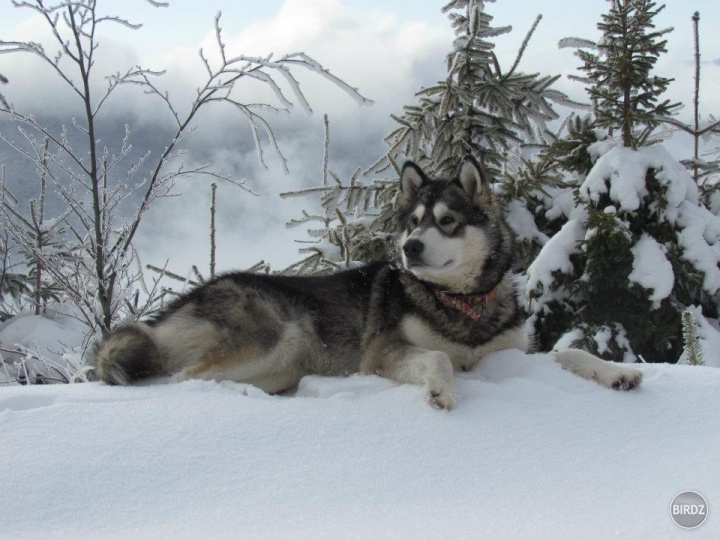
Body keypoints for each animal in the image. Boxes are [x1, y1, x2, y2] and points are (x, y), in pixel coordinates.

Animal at [94, 156, 640, 410]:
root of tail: (176, 307)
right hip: (276, 338)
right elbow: (439, 358)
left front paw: (616, 373)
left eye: (446, 221)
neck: (460, 304)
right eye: (412, 222)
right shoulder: (383, 350)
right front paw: (443, 393)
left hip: (281, 361)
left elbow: (569, 353)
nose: (410, 248)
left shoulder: (510, 354)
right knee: (185, 379)